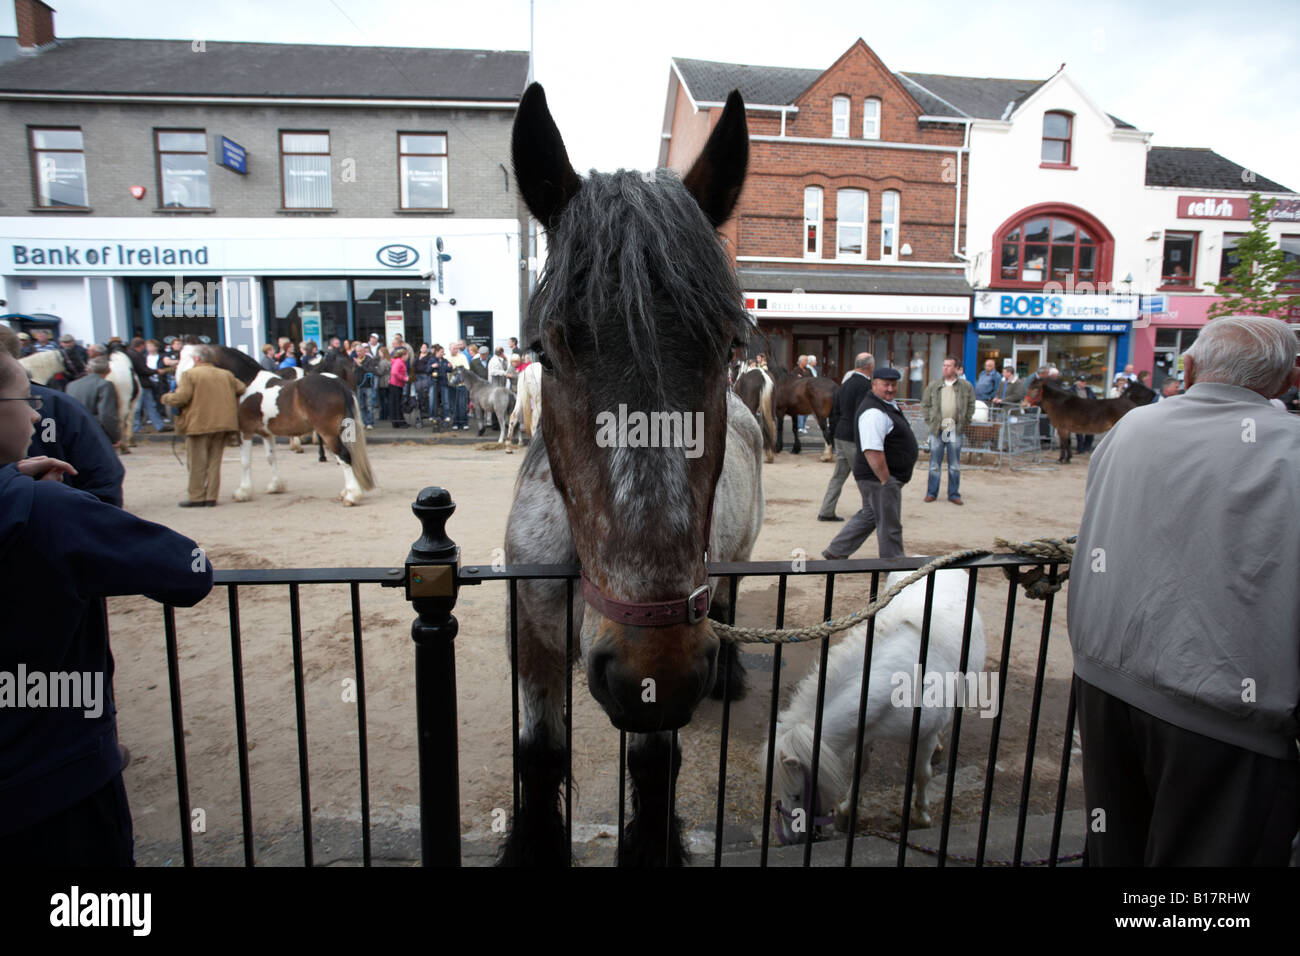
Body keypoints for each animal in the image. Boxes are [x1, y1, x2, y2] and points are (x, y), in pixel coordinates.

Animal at [176, 345, 377, 509]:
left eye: (188, 358)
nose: (178, 382)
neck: (247, 383)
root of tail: (338, 383)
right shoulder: (266, 433)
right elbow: (271, 457)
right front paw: (276, 485)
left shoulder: (244, 431)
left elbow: (245, 461)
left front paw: (243, 491)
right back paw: (347, 491)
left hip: (328, 432)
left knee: (344, 456)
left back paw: (351, 496)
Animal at [759, 572, 982, 842]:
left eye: (796, 794)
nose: (790, 838)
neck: (902, 682)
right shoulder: (866, 728)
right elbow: (860, 766)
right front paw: (847, 810)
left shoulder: (924, 736)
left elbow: (922, 774)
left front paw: (921, 816)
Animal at [1024, 374, 1159, 463]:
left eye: (1035, 388)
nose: (1024, 404)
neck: (1060, 402)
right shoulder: (1066, 429)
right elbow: (1067, 443)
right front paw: (1068, 458)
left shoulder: (1062, 428)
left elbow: (1064, 444)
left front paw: (1062, 459)